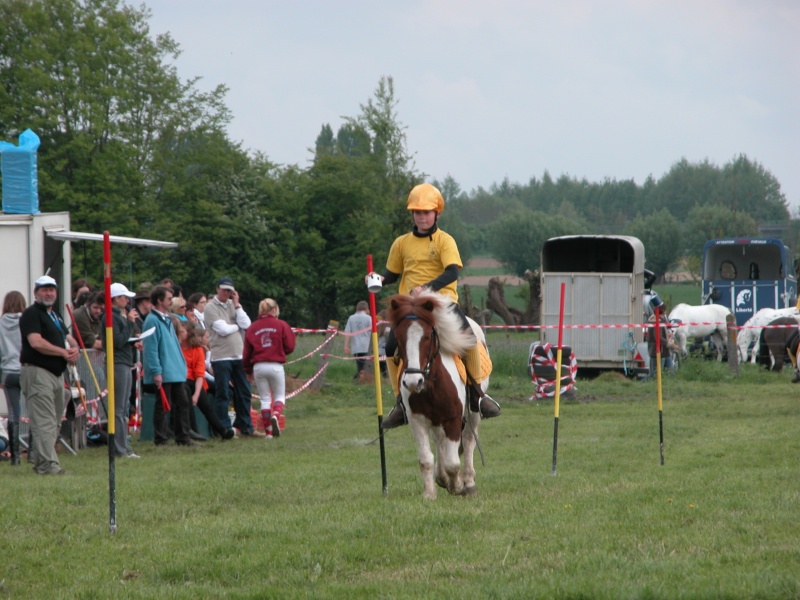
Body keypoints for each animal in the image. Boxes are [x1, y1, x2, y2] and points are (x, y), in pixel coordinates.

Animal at [388, 292, 488, 500]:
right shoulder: (418, 421)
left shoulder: (453, 418)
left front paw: (457, 486)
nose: (413, 382)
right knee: (440, 442)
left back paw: (469, 482)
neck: (431, 385)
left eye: (427, 336)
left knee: (468, 441)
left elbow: (453, 462)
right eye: (398, 339)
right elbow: (426, 459)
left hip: (472, 414)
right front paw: (429, 493)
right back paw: (441, 477)